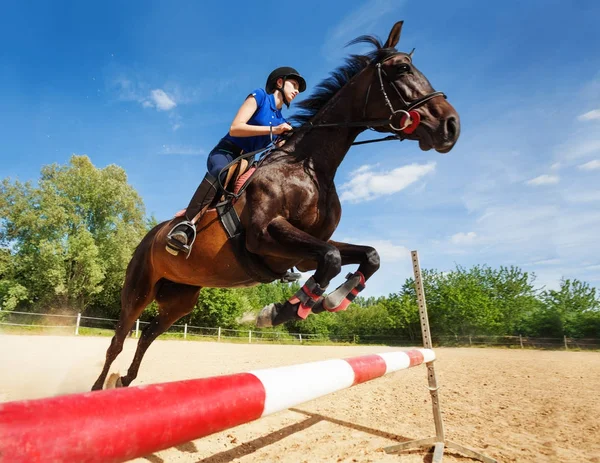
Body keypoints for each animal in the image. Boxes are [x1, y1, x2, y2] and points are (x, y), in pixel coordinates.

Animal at [92, 21, 460, 392]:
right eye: (402, 69)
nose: (452, 126)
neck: (309, 166)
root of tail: (149, 236)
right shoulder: (265, 236)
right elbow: (332, 257)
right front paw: (281, 311)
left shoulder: (304, 250)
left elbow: (366, 255)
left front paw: (329, 300)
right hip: (138, 290)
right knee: (119, 340)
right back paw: (98, 387)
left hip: (180, 298)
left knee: (147, 335)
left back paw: (125, 381)